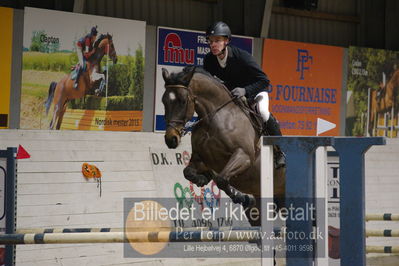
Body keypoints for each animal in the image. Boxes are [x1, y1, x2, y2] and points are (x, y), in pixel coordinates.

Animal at [161, 66, 286, 227]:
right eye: (163, 101)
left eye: (183, 101)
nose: (171, 139)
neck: (214, 117)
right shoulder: (200, 158)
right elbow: (188, 172)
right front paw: (203, 179)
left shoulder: (244, 156)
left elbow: (221, 179)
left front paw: (241, 197)